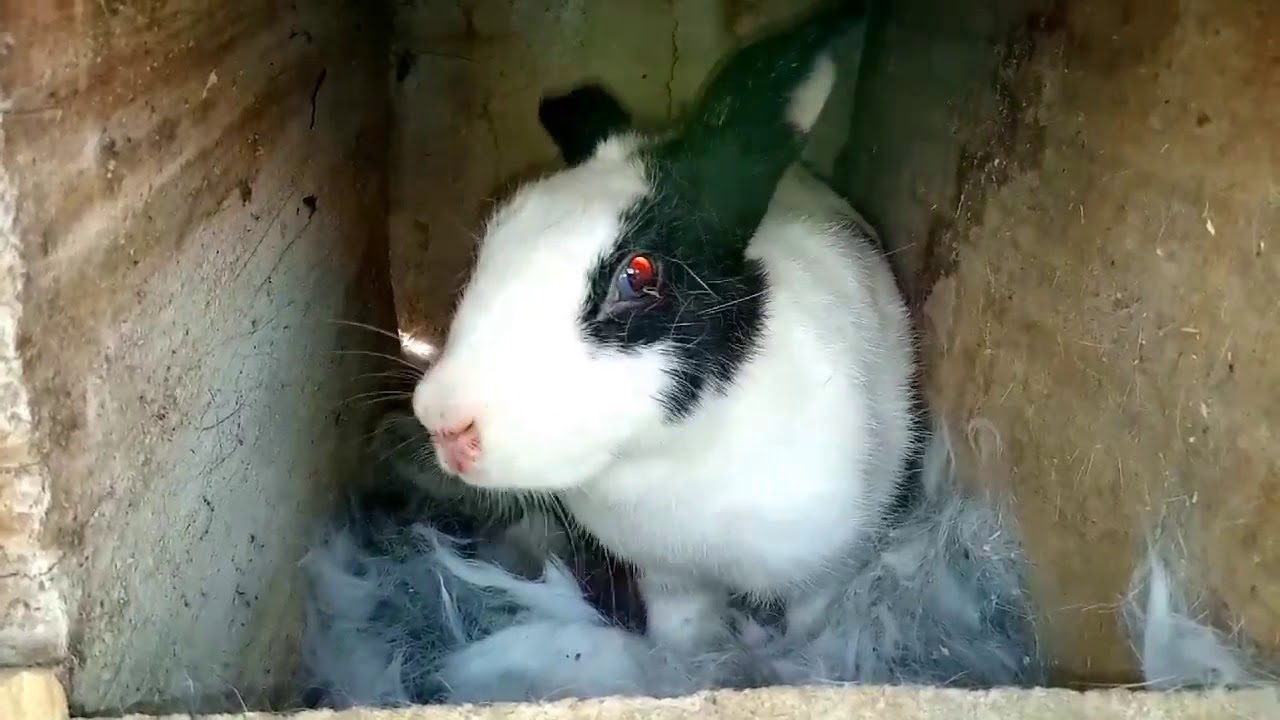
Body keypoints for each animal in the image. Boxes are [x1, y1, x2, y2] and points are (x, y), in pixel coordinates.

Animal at [410, 0, 920, 654]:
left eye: (639, 274)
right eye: (496, 236)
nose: (444, 421)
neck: (673, 452)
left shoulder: (826, 571)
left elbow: (811, 622)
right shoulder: (671, 579)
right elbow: (682, 632)